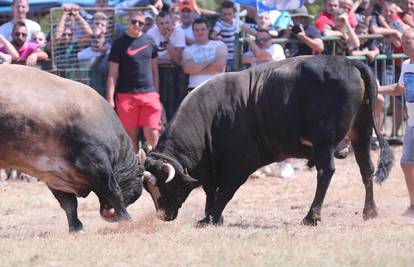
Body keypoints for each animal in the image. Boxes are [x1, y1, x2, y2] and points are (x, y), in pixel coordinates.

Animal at [0, 64, 144, 232]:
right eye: (140, 176)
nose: (110, 213)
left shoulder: (54, 173)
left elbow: (68, 203)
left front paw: (76, 228)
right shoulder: (96, 162)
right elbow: (113, 192)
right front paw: (127, 220)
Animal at [142, 56, 394, 226]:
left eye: (163, 185)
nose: (162, 215)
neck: (210, 117)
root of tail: (350, 62)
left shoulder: (240, 162)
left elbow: (225, 190)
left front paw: (211, 217)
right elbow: (211, 190)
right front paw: (211, 216)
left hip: (325, 143)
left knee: (326, 172)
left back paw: (312, 216)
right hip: (361, 132)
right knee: (366, 168)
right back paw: (370, 211)